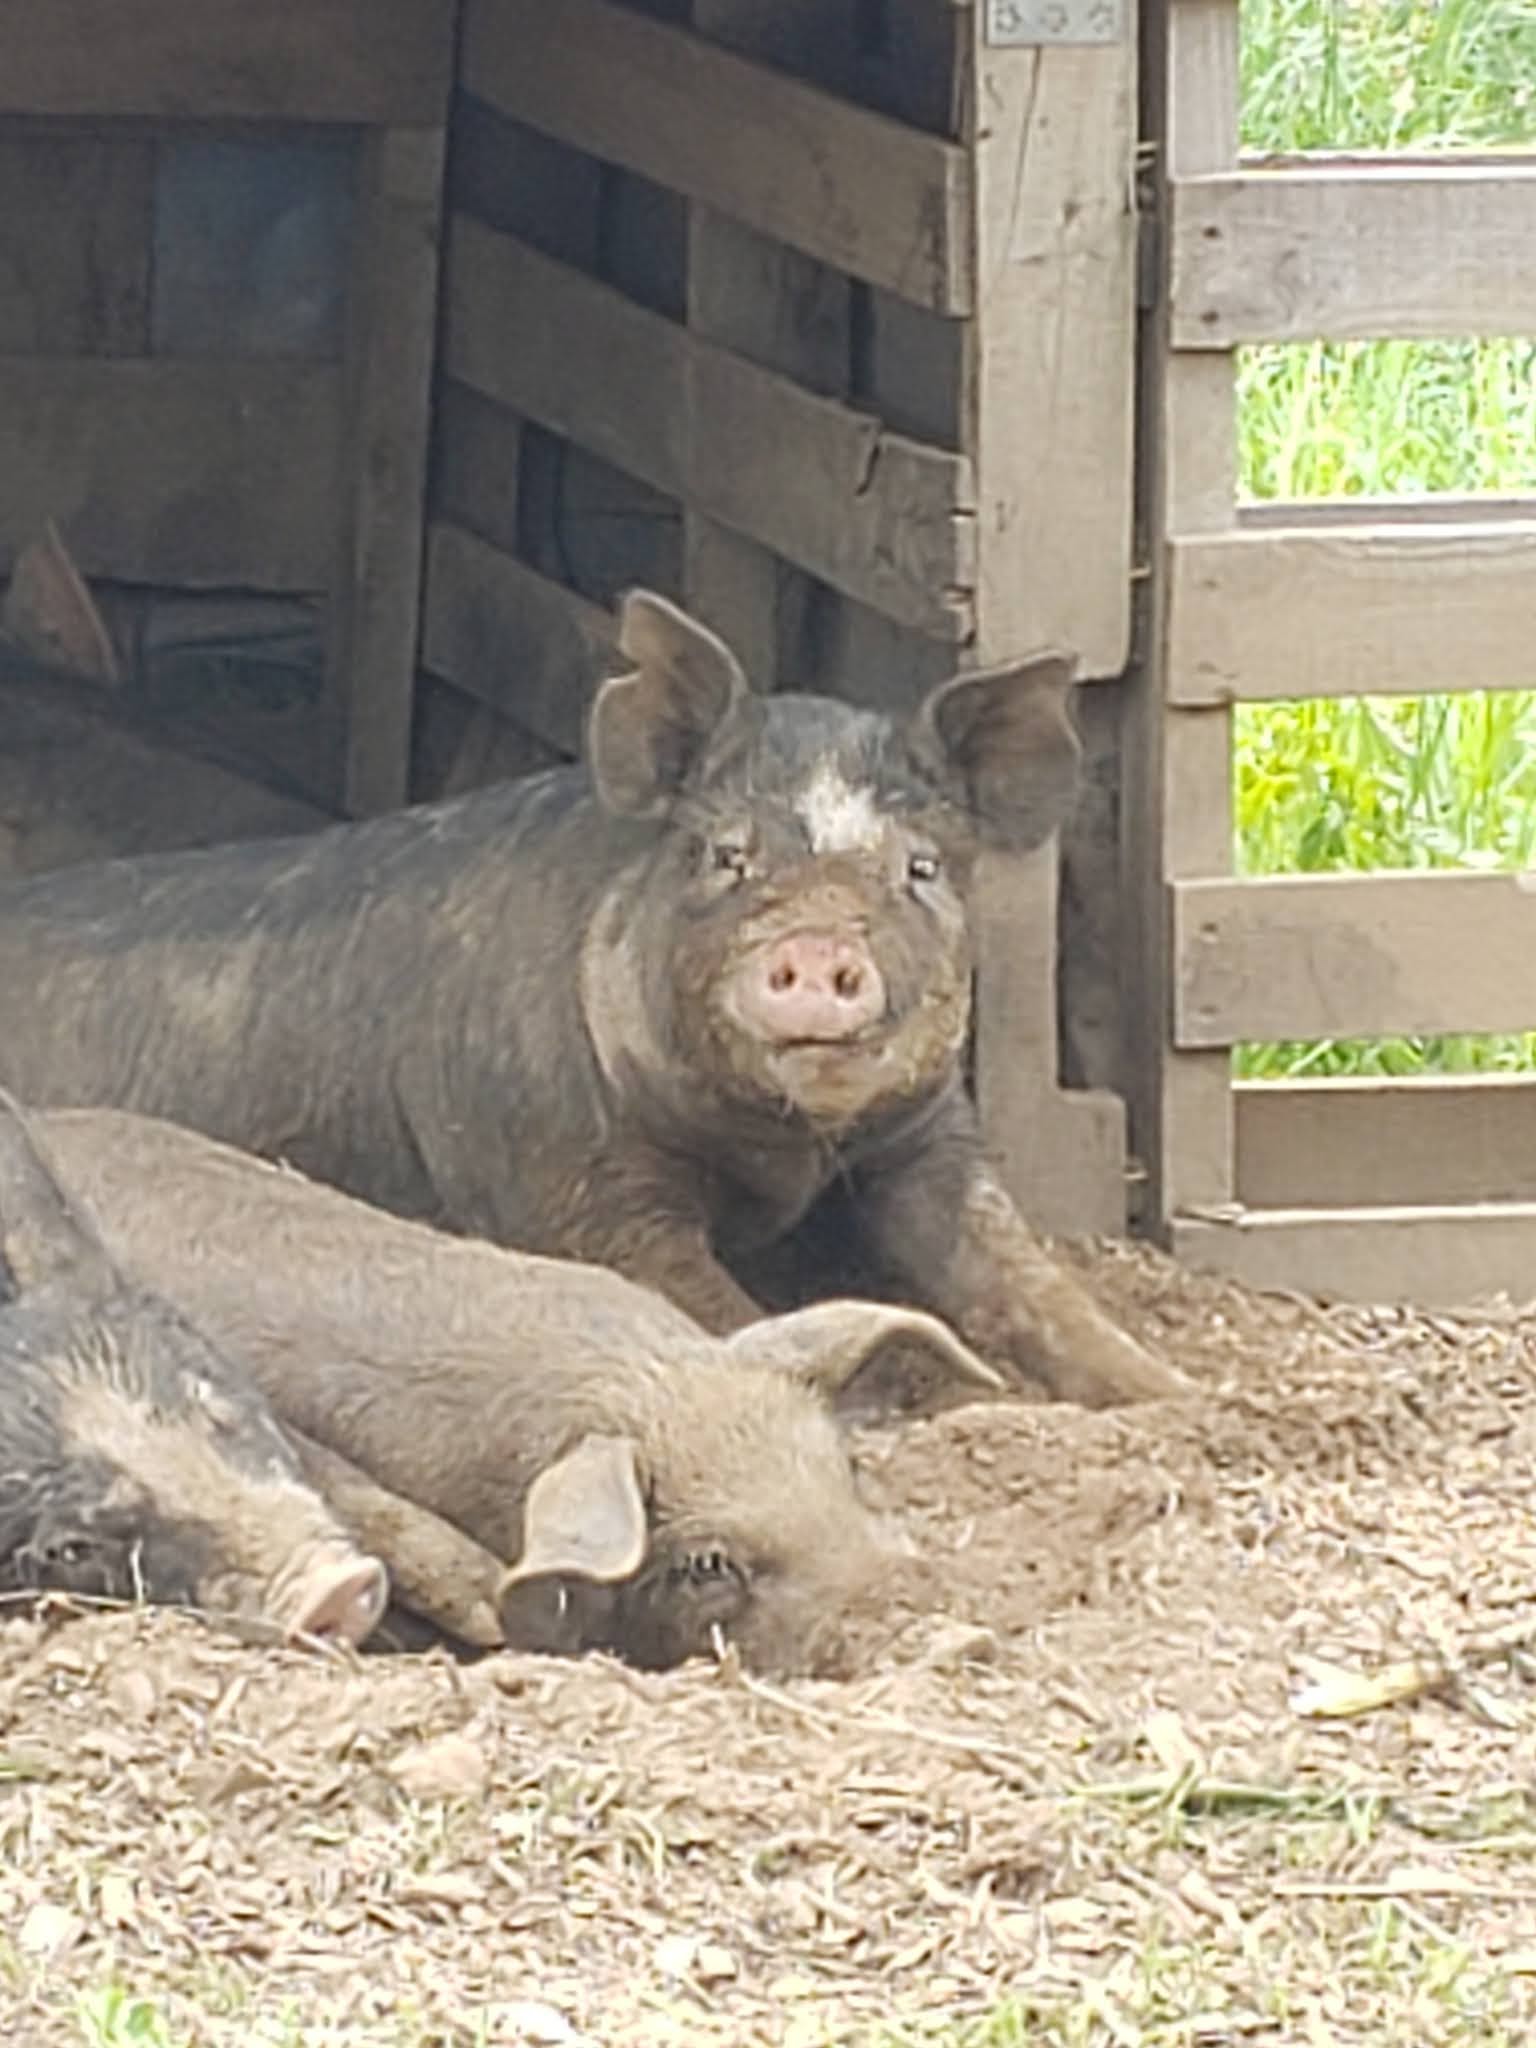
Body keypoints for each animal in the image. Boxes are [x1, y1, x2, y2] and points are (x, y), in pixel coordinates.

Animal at [0, 590, 1186, 1409]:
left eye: (923, 869)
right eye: (724, 855)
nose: (814, 948)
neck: (781, 1153)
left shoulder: (926, 1129)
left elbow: (1010, 1261)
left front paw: (1172, 1394)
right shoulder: (558, 1174)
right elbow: (703, 1300)